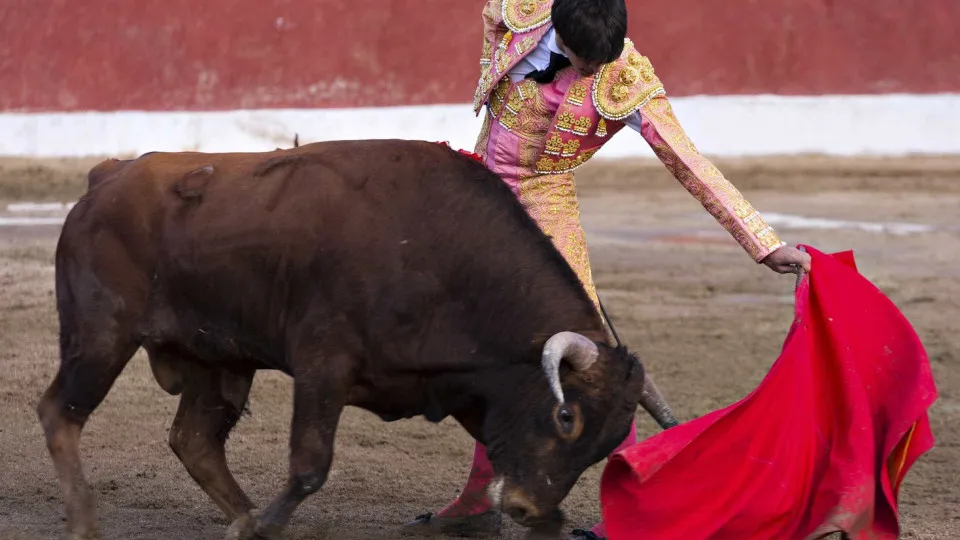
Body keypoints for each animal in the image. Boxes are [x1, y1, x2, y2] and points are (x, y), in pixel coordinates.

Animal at [37, 140, 680, 540]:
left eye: (609, 441)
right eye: (567, 417)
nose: (523, 506)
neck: (443, 257)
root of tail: (106, 177)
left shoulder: (474, 390)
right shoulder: (324, 364)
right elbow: (310, 463)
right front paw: (270, 523)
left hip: (217, 359)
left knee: (194, 439)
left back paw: (241, 519)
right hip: (99, 337)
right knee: (60, 413)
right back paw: (85, 521)